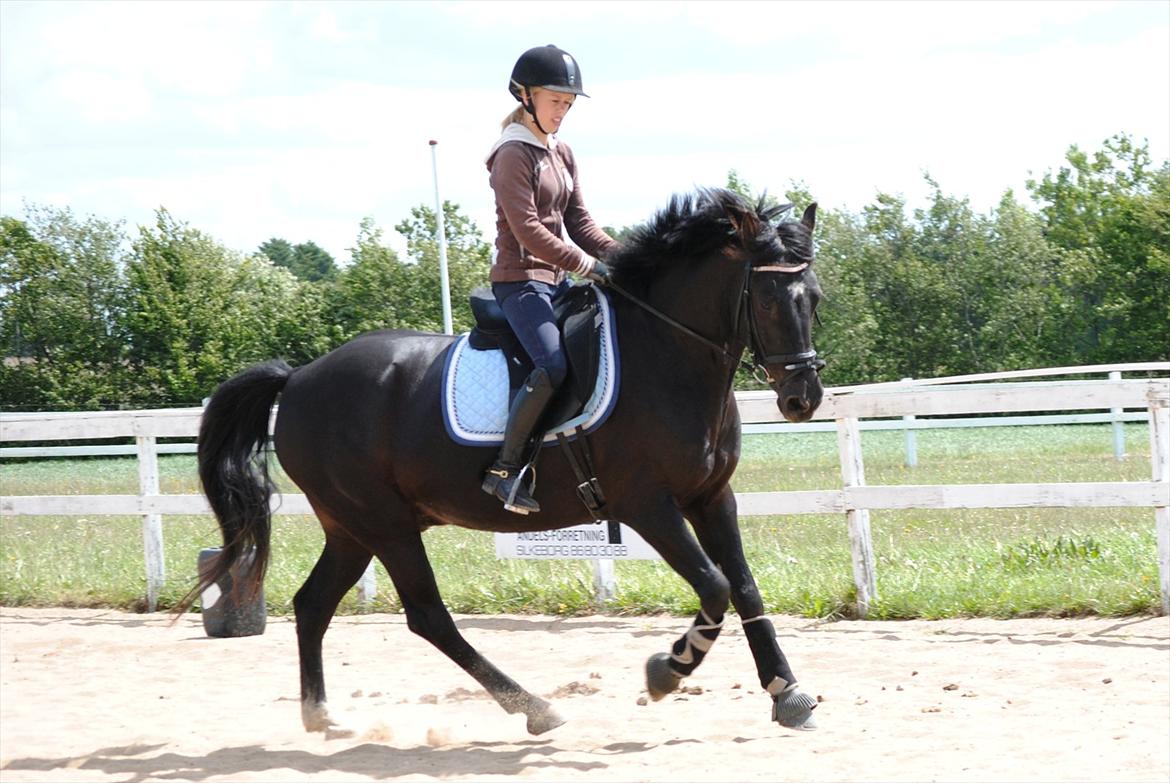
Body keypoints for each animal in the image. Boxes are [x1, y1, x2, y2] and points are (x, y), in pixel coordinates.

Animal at [180, 188, 826, 736]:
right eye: (769, 300)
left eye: (814, 298)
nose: (803, 398)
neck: (666, 352)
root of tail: (298, 377)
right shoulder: (648, 504)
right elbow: (715, 585)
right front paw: (668, 671)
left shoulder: (712, 497)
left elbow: (744, 587)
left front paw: (787, 693)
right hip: (383, 524)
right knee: (427, 616)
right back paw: (535, 708)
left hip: (352, 529)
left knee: (313, 605)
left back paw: (320, 715)